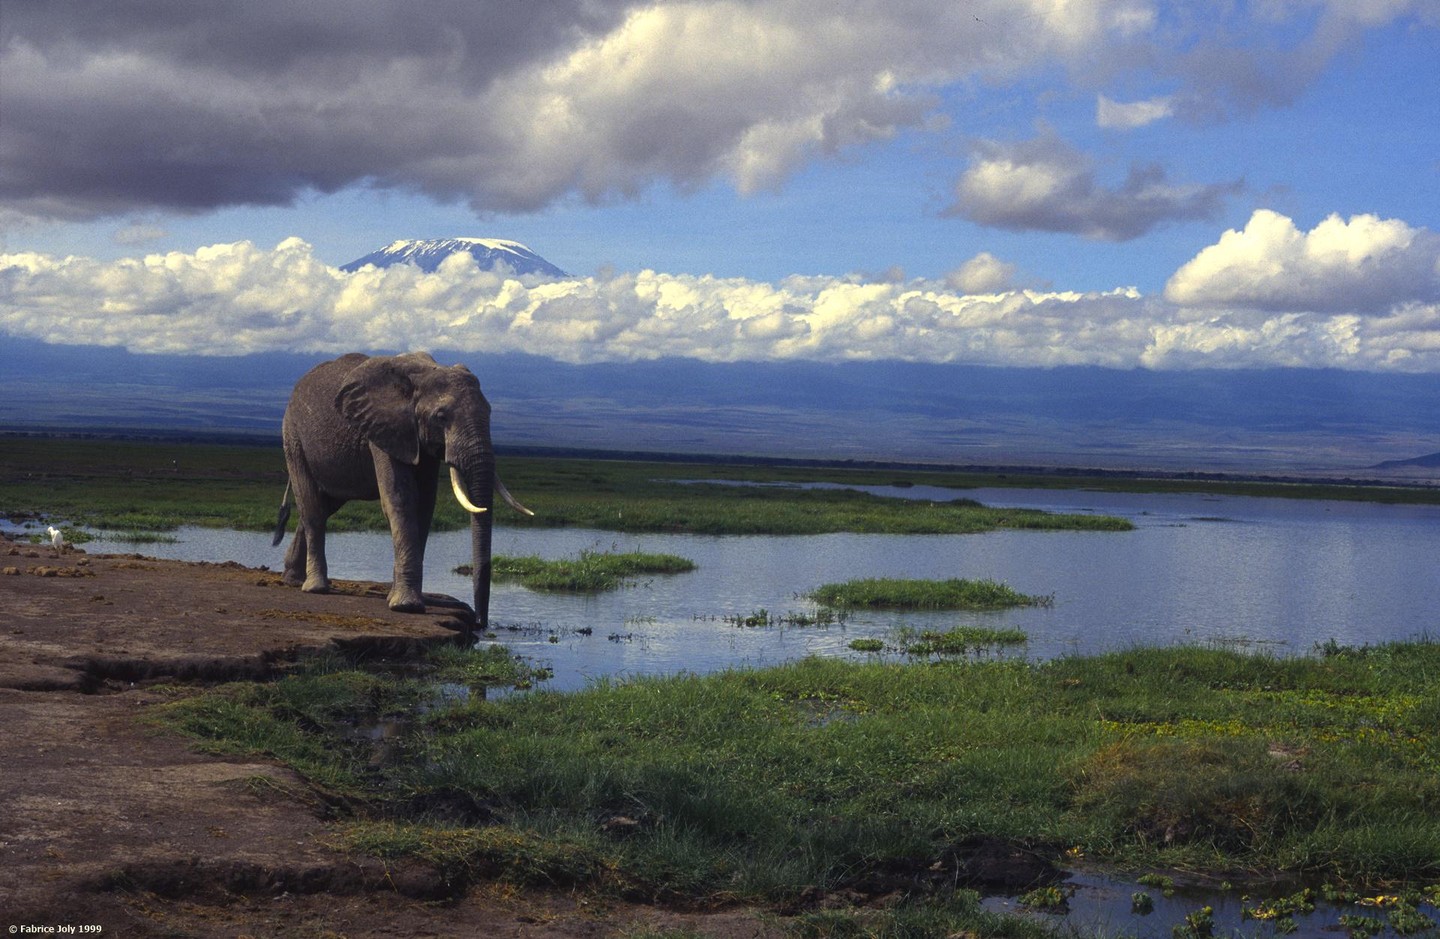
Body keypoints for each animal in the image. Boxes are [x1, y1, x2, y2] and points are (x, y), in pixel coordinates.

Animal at [275, 351, 530, 628]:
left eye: (490, 412)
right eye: (441, 416)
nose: (480, 622)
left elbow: (426, 503)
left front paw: (401, 598)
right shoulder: (386, 429)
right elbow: (401, 498)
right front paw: (407, 606)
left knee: (324, 505)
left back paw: (293, 579)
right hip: (293, 436)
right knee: (312, 506)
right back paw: (315, 588)